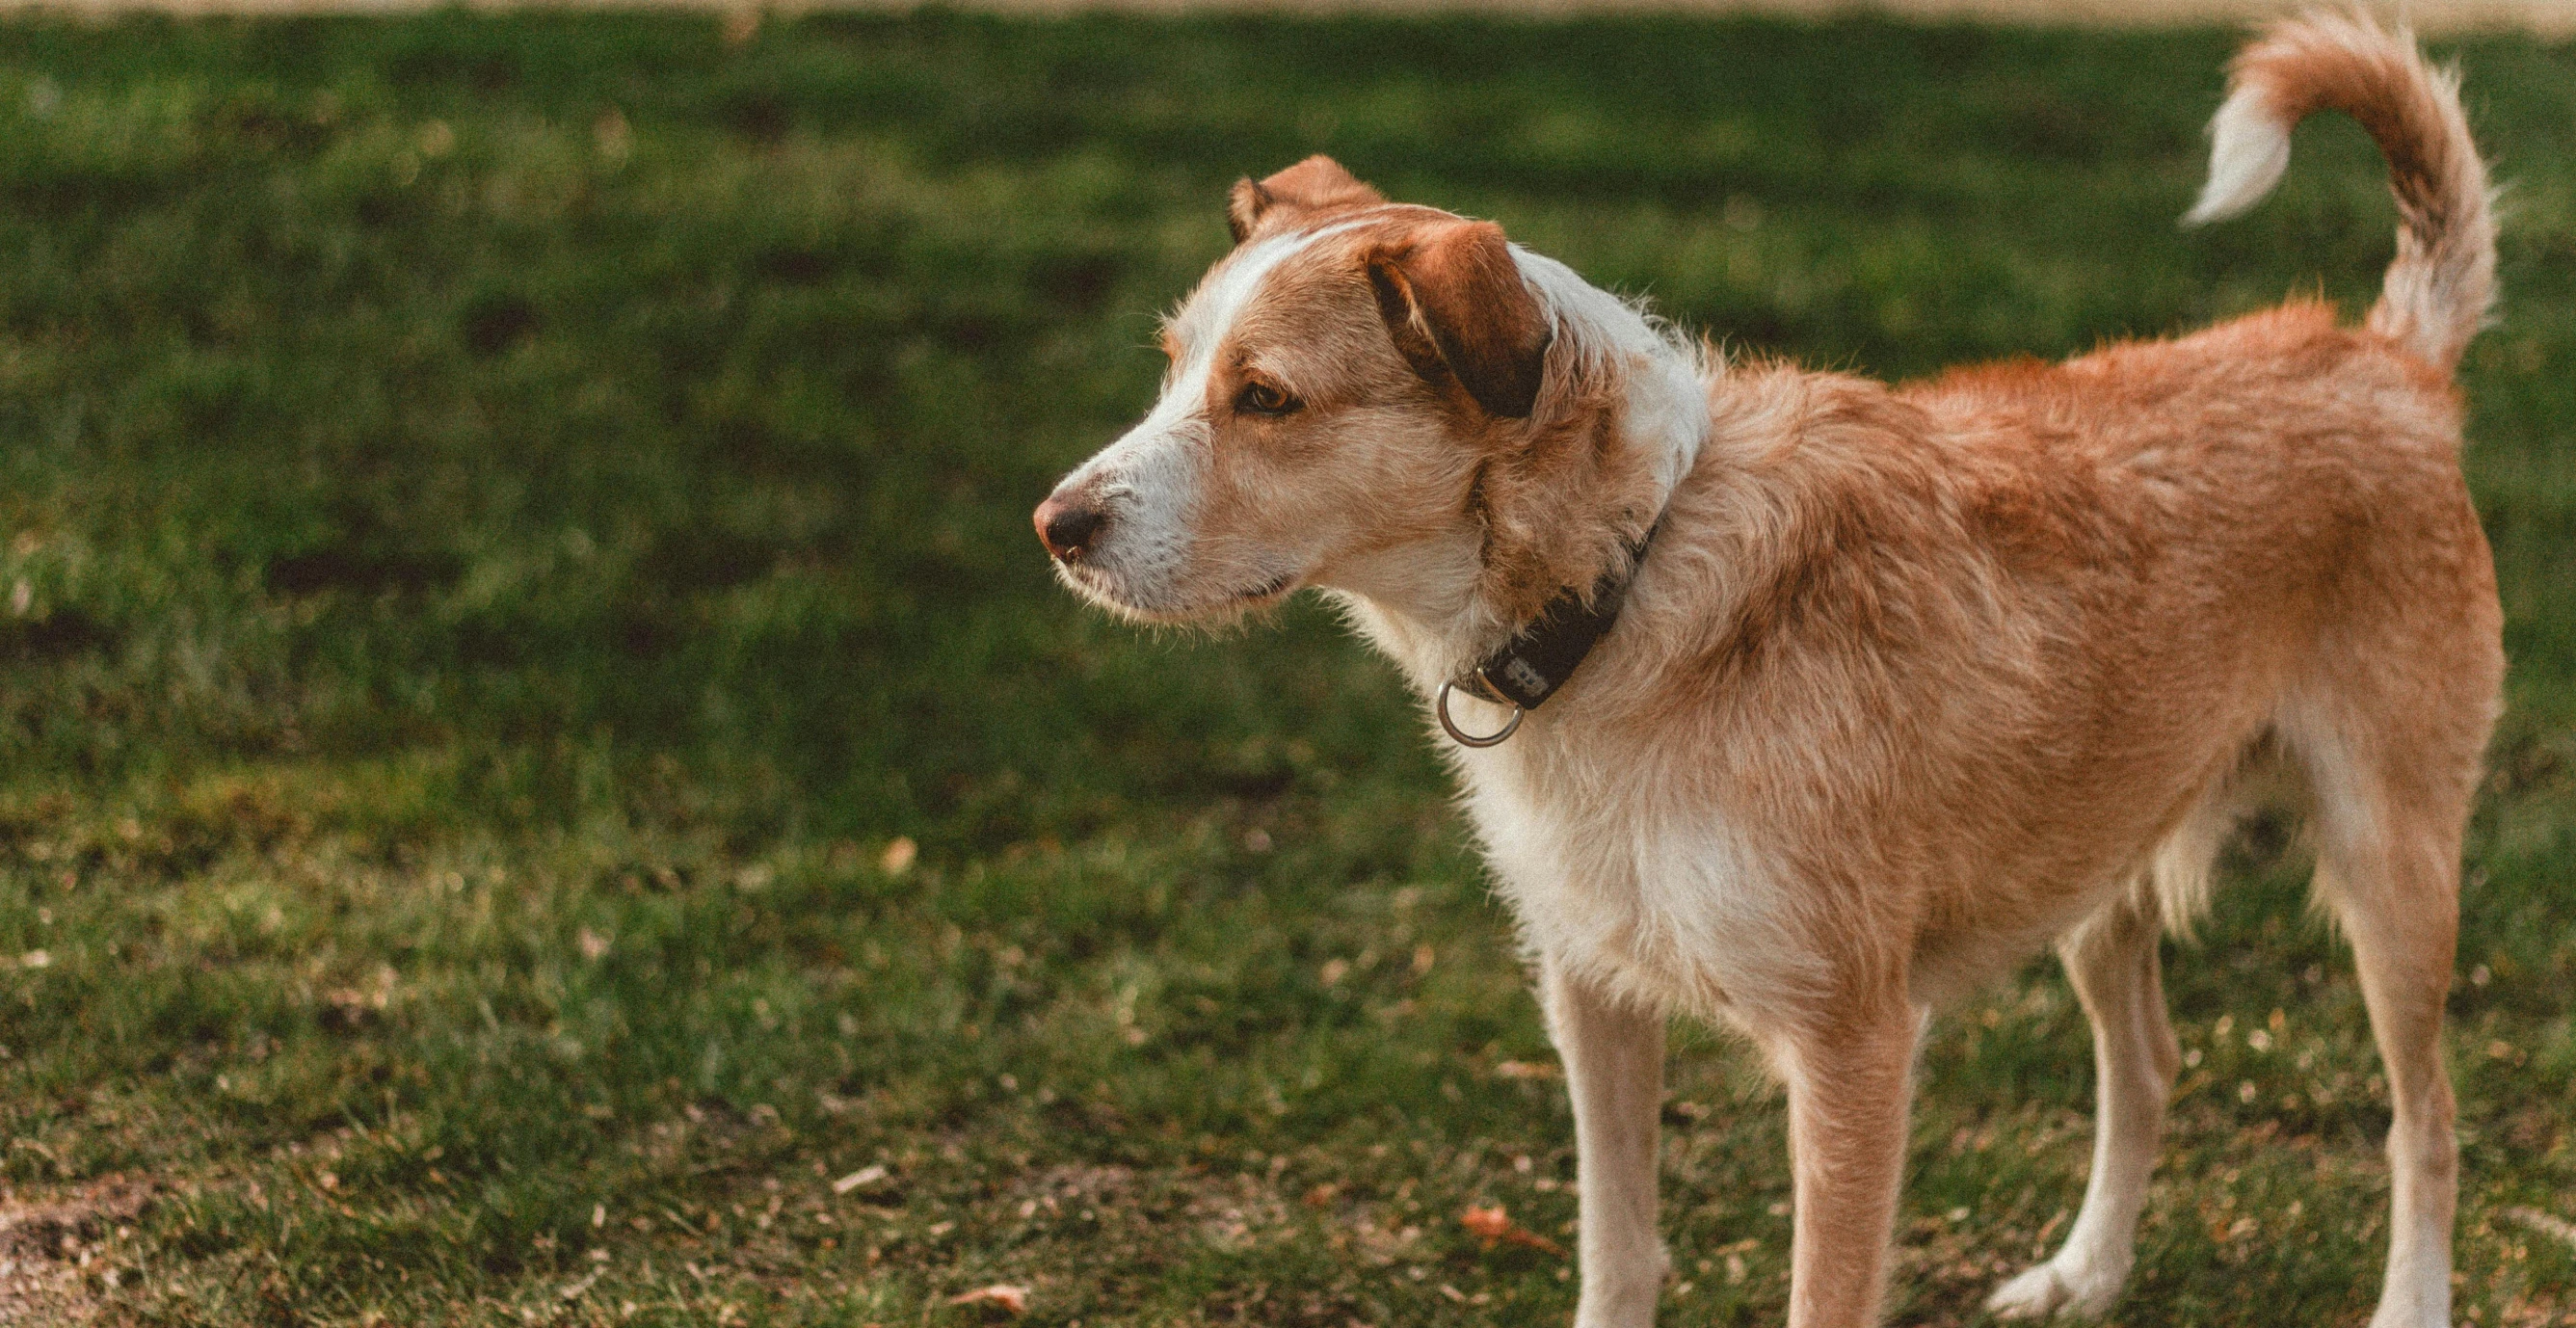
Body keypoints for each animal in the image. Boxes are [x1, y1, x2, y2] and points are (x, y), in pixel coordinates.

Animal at [1030, 13, 2493, 1328]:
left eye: (1267, 398)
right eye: (1173, 367)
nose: (1055, 524)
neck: (1628, 576)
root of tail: (2386, 353)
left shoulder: (1852, 1048)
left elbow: (1821, 1291)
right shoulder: (1591, 996)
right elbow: (1615, 1254)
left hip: (2392, 866)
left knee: (2426, 1118)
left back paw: (2408, 1299)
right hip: (2098, 863)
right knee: (2147, 1061)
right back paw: (2084, 1276)